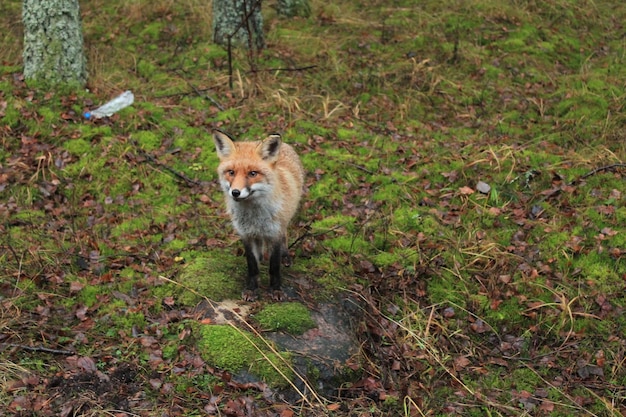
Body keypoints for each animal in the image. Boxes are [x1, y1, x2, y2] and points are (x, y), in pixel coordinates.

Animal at [212, 130, 304, 300]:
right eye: (231, 172)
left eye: (252, 173)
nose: (235, 192)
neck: (254, 217)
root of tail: (285, 145)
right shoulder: (246, 234)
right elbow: (252, 266)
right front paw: (252, 289)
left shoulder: (274, 233)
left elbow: (274, 267)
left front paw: (275, 289)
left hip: (283, 222)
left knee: (285, 236)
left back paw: (285, 256)